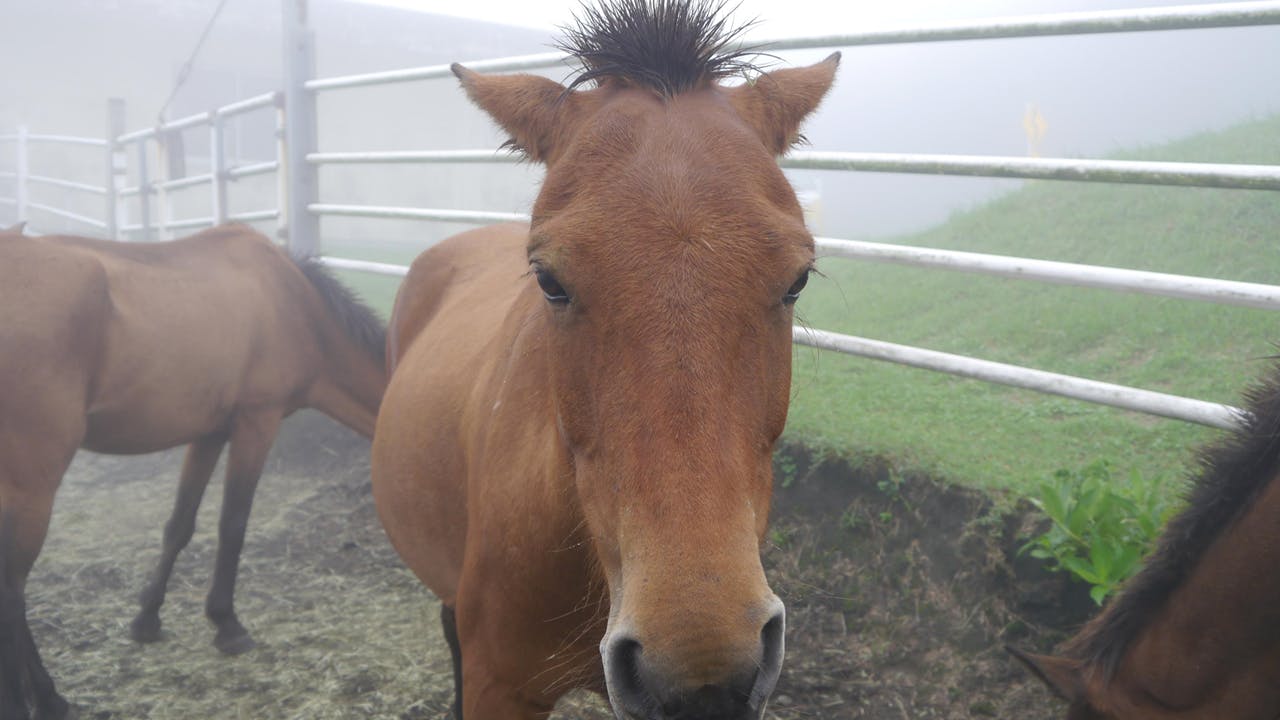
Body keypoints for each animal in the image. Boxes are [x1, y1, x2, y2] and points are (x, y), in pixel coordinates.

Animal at [1, 224, 389, 717]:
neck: (294, 304)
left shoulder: (208, 434)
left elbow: (179, 526)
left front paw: (147, 618)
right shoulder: (256, 423)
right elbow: (233, 525)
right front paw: (227, 624)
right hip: (33, 481)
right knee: (11, 589)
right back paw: (43, 697)